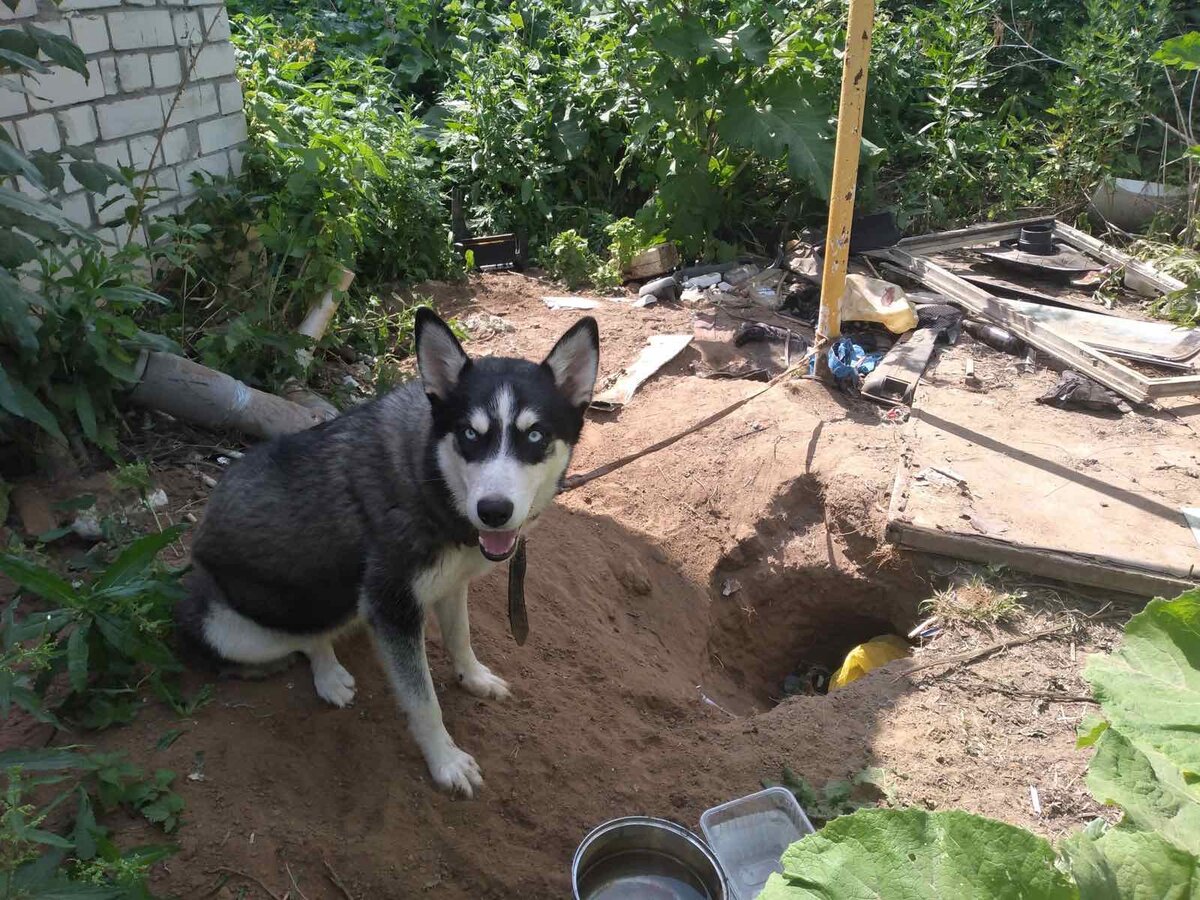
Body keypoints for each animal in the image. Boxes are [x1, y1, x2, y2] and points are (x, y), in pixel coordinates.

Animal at [176, 309, 600, 796]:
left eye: (535, 435)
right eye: (469, 434)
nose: (493, 511)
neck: (433, 480)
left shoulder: (450, 583)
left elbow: (460, 636)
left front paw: (472, 677)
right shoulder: (393, 606)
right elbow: (424, 700)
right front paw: (445, 761)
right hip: (233, 628)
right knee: (305, 634)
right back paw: (328, 672)